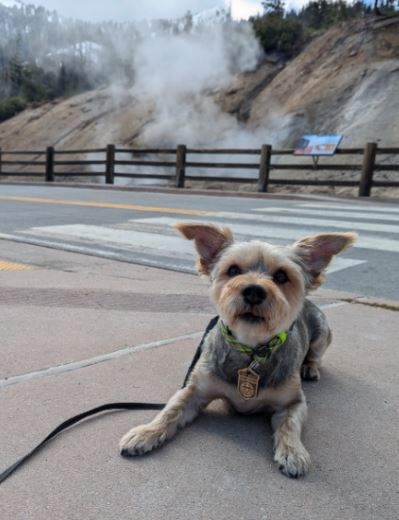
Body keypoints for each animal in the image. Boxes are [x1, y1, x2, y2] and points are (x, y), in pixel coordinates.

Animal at [120, 221, 358, 478]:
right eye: (233, 270)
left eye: (281, 276)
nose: (254, 290)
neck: (251, 349)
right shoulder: (195, 390)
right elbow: (170, 410)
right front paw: (146, 432)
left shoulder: (293, 402)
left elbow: (290, 425)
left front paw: (293, 452)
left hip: (322, 333)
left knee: (315, 355)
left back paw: (310, 368)